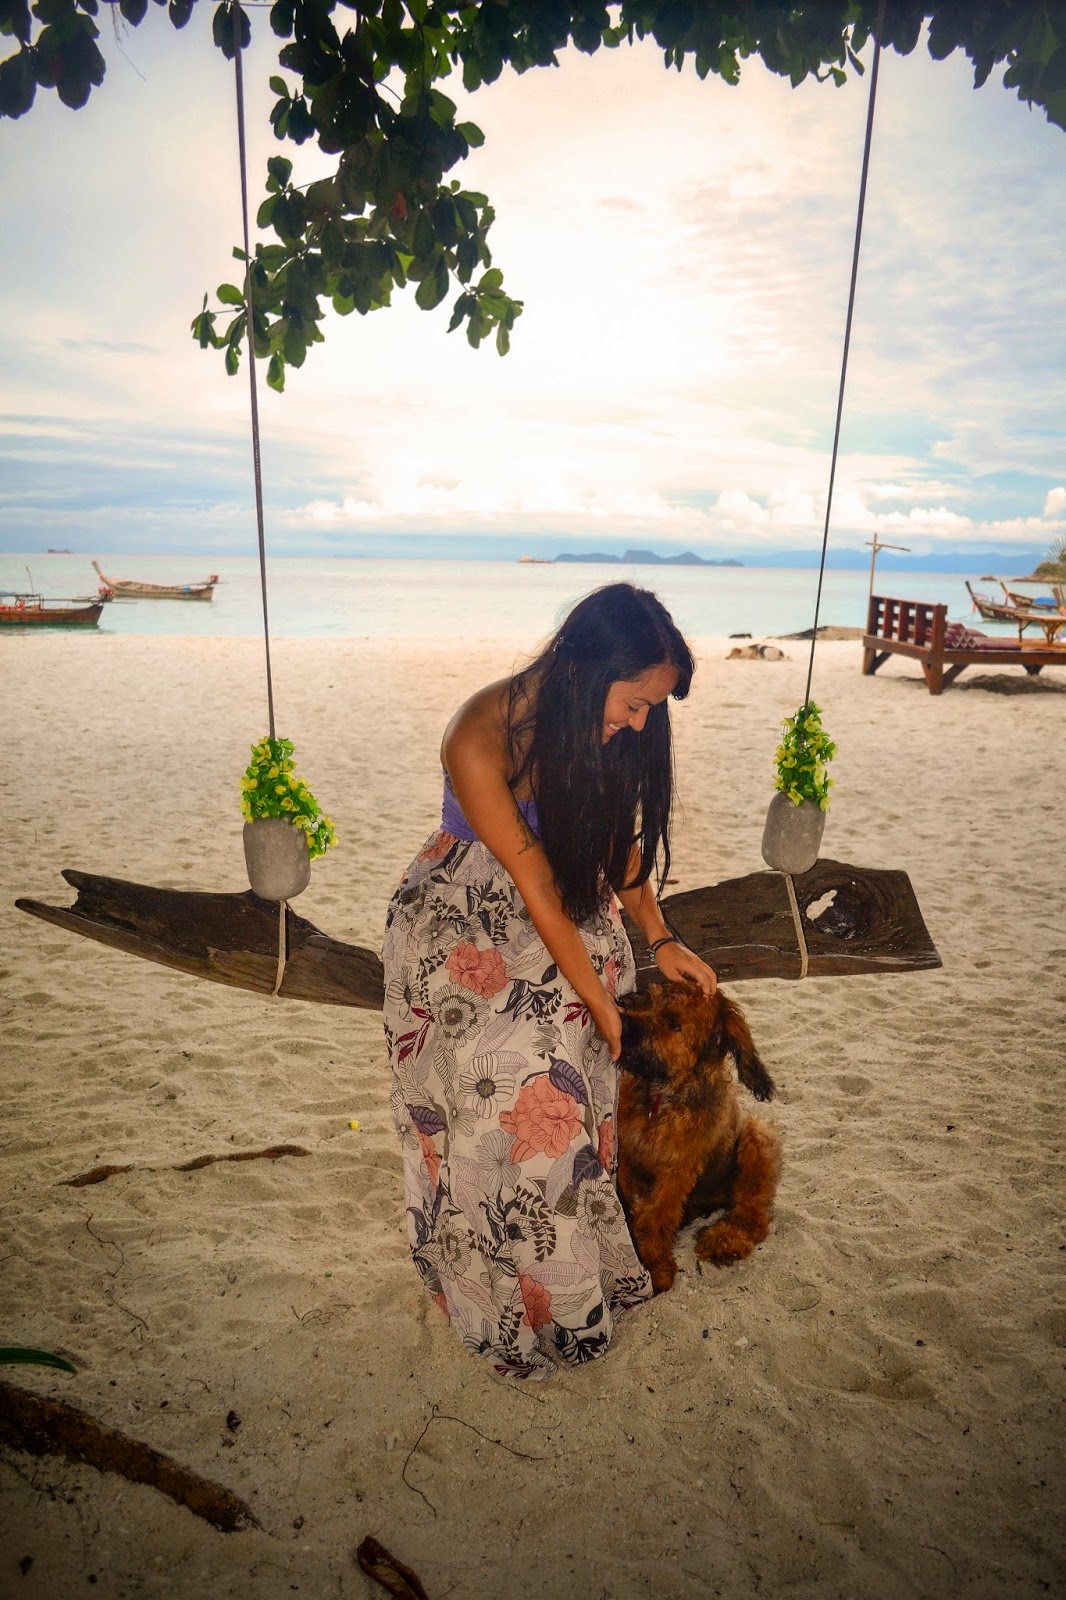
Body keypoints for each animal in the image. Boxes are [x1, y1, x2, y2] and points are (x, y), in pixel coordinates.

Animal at [616, 983, 781, 1294]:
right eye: (648, 998)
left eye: (675, 1023)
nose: (623, 1023)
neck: (661, 1098)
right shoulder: (626, 1158)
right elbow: (630, 1205)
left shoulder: (676, 1173)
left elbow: (654, 1219)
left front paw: (657, 1269)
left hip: (757, 1139)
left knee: (753, 1214)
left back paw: (724, 1241)